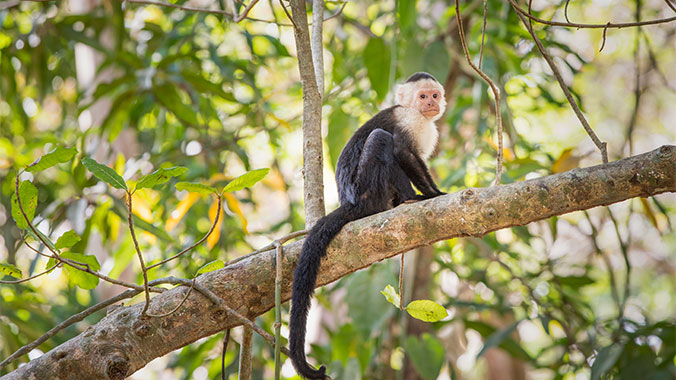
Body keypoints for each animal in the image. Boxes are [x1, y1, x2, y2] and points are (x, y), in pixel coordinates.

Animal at [288, 72, 446, 380]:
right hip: (369, 190)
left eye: (434, 95)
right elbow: (402, 151)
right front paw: (434, 194)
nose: (431, 104)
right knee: (381, 140)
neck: (417, 114)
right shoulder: (409, 120)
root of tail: (350, 203)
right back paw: (408, 199)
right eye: (422, 96)